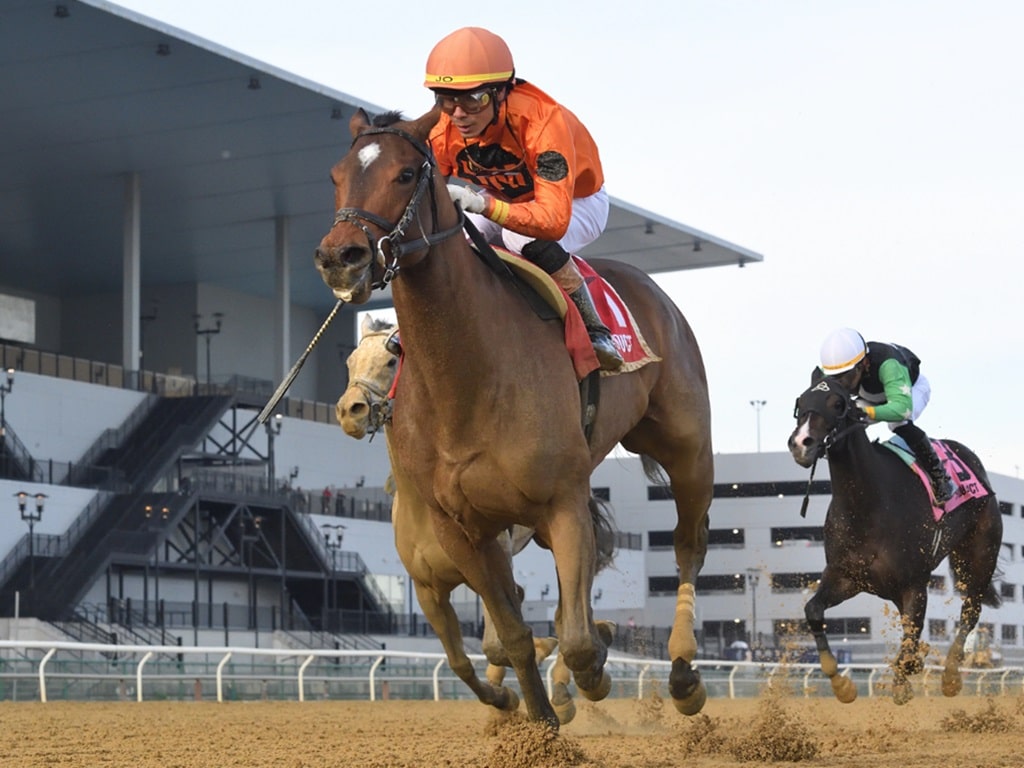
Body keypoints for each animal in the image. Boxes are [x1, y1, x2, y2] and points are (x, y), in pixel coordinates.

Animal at [315, 108, 716, 729]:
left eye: (405, 174)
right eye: (336, 176)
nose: (341, 256)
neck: (468, 379)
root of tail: (653, 290)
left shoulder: (562, 501)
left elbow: (574, 642)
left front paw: (588, 678)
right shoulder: (464, 531)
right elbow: (511, 637)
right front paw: (539, 722)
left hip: (688, 447)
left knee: (687, 545)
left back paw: (682, 673)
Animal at [790, 376, 999, 708]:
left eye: (837, 403)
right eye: (801, 402)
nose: (801, 443)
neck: (868, 503)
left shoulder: (914, 583)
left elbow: (910, 641)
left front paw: (904, 679)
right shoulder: (846, 576)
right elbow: (813, 610)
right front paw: (841, 684)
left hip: (979, 556)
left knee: (971, 610)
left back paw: (951, 676)